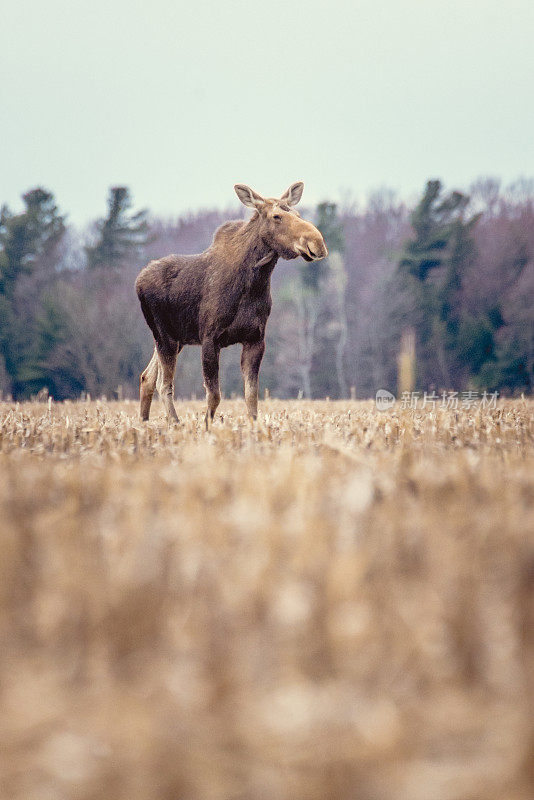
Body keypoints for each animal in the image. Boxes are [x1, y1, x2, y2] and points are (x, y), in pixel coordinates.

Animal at [136, 183, 328, 424]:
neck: (254, 283)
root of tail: (138, 281)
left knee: (147, 377)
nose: (317, 243)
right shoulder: (210, 338)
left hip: (174, 338)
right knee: (164, 384)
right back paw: (175, 423)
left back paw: (144, 423)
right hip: (165, 336)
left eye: (299, 214)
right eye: (276, 216)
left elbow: (252, 396)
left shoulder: (255, 339)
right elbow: (214, 395)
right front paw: (207, 426)